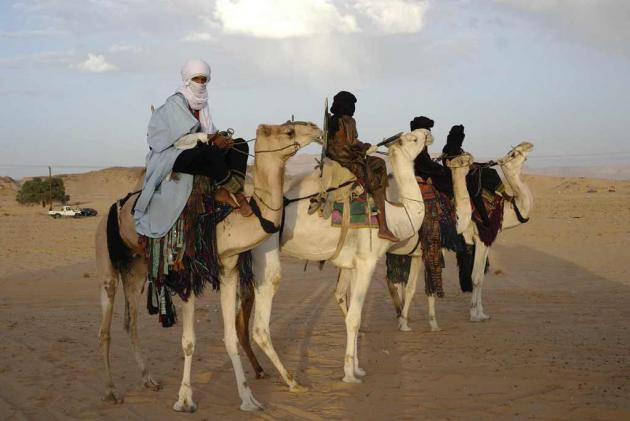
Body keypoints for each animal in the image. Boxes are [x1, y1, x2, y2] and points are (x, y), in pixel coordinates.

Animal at [95, 120, 324, 410]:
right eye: (289, 131)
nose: (317, 129)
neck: (226, 217)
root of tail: (114, 208)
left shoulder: (228, 267)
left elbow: (231, 337)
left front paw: (248, 398)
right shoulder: (187, 272)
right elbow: (189, 341)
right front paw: (185, 399)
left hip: (136, 268)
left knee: (131, 321)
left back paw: (149, 380)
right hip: (106, 258)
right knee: (105, 327)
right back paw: (111, 390)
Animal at [243, 129, 434, 388]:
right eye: (413, 139)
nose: (428, 133)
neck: (396, 216)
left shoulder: (352, 265)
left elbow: (354, 312)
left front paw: (358, 368)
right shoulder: (367, 261)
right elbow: (354, 318)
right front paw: (349, 375)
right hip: (265, 252)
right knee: (260, 326)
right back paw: (291, 381)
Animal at [388, 143, 536, 330]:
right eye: (513, 153)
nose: (528, 145)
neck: (506, 210)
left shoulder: (486, 242)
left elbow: (481, 276)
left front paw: (483, 313)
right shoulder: (481, 238)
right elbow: (476, 277)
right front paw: (475, 314)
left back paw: (402, 316)